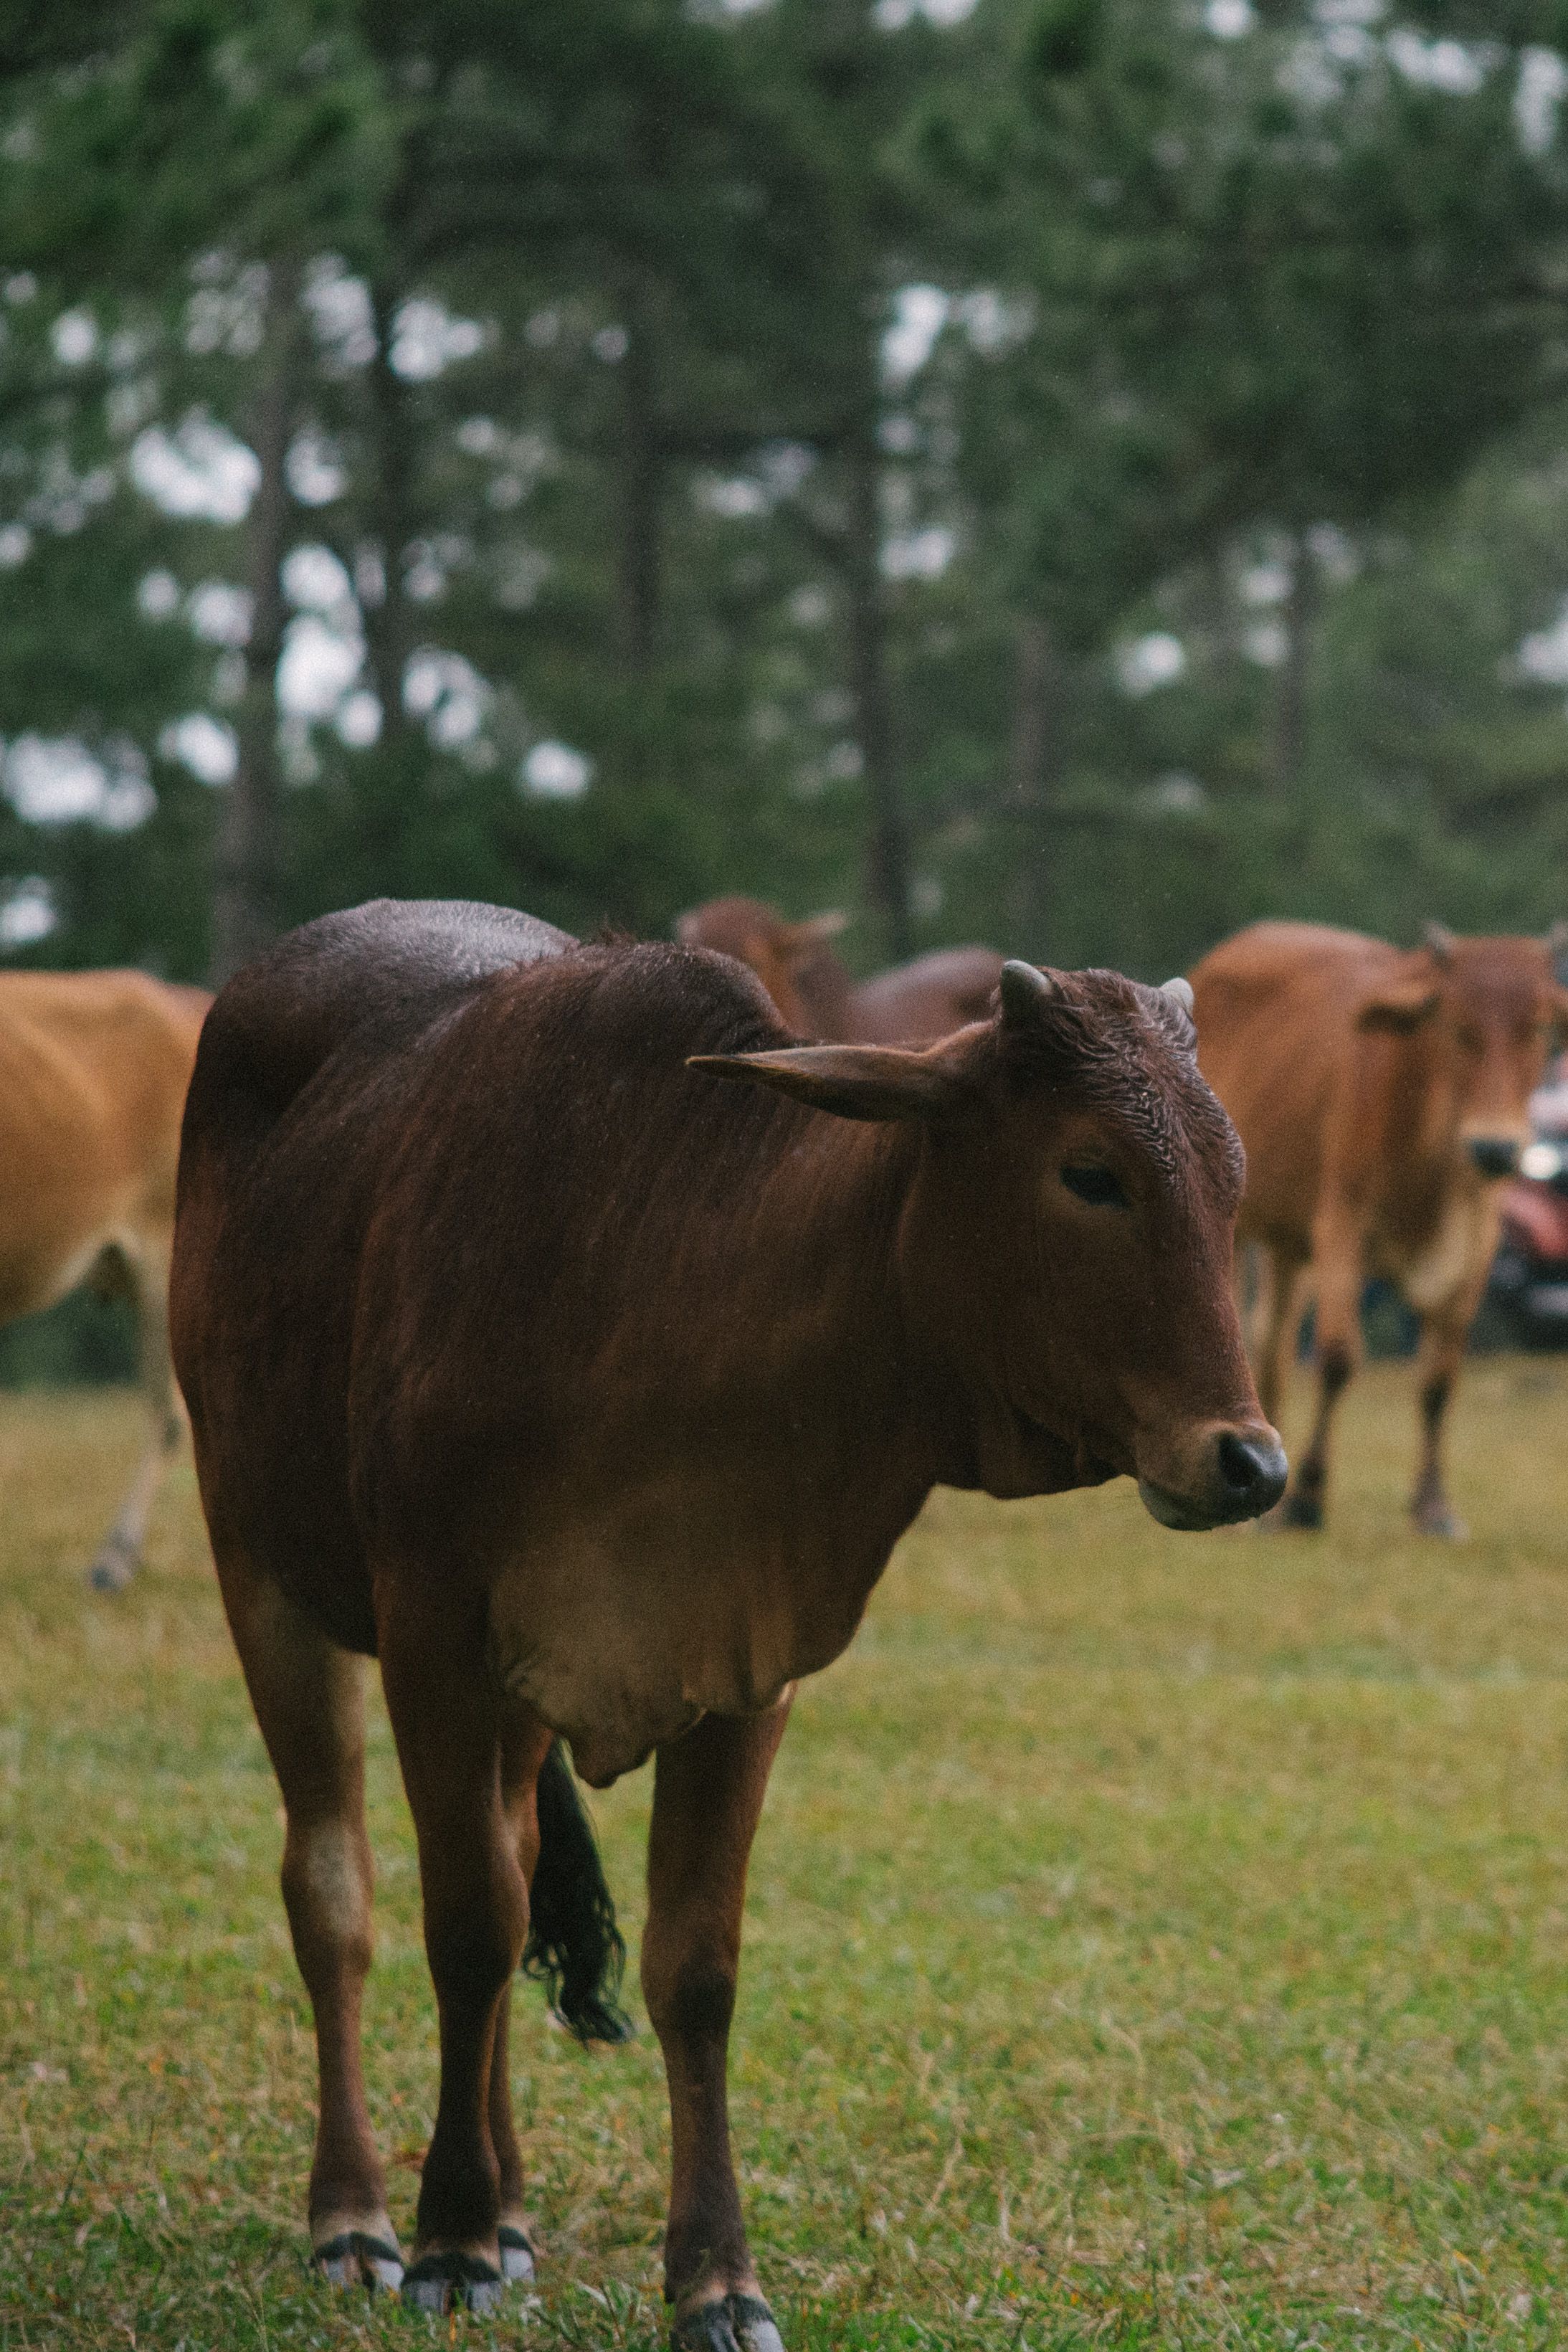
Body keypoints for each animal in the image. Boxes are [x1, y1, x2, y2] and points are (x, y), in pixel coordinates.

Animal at [1189, 919, 1568, 1537]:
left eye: (1537, 1025)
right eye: (1456, 1026)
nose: (1493, 1148)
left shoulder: (1478, 1246)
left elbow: (1439, 1379)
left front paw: (1433, 1508)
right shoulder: (1340, 1228)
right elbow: (1338, 1358)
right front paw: (1307, 1498)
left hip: (1287, 1245)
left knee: (1271, 1340)